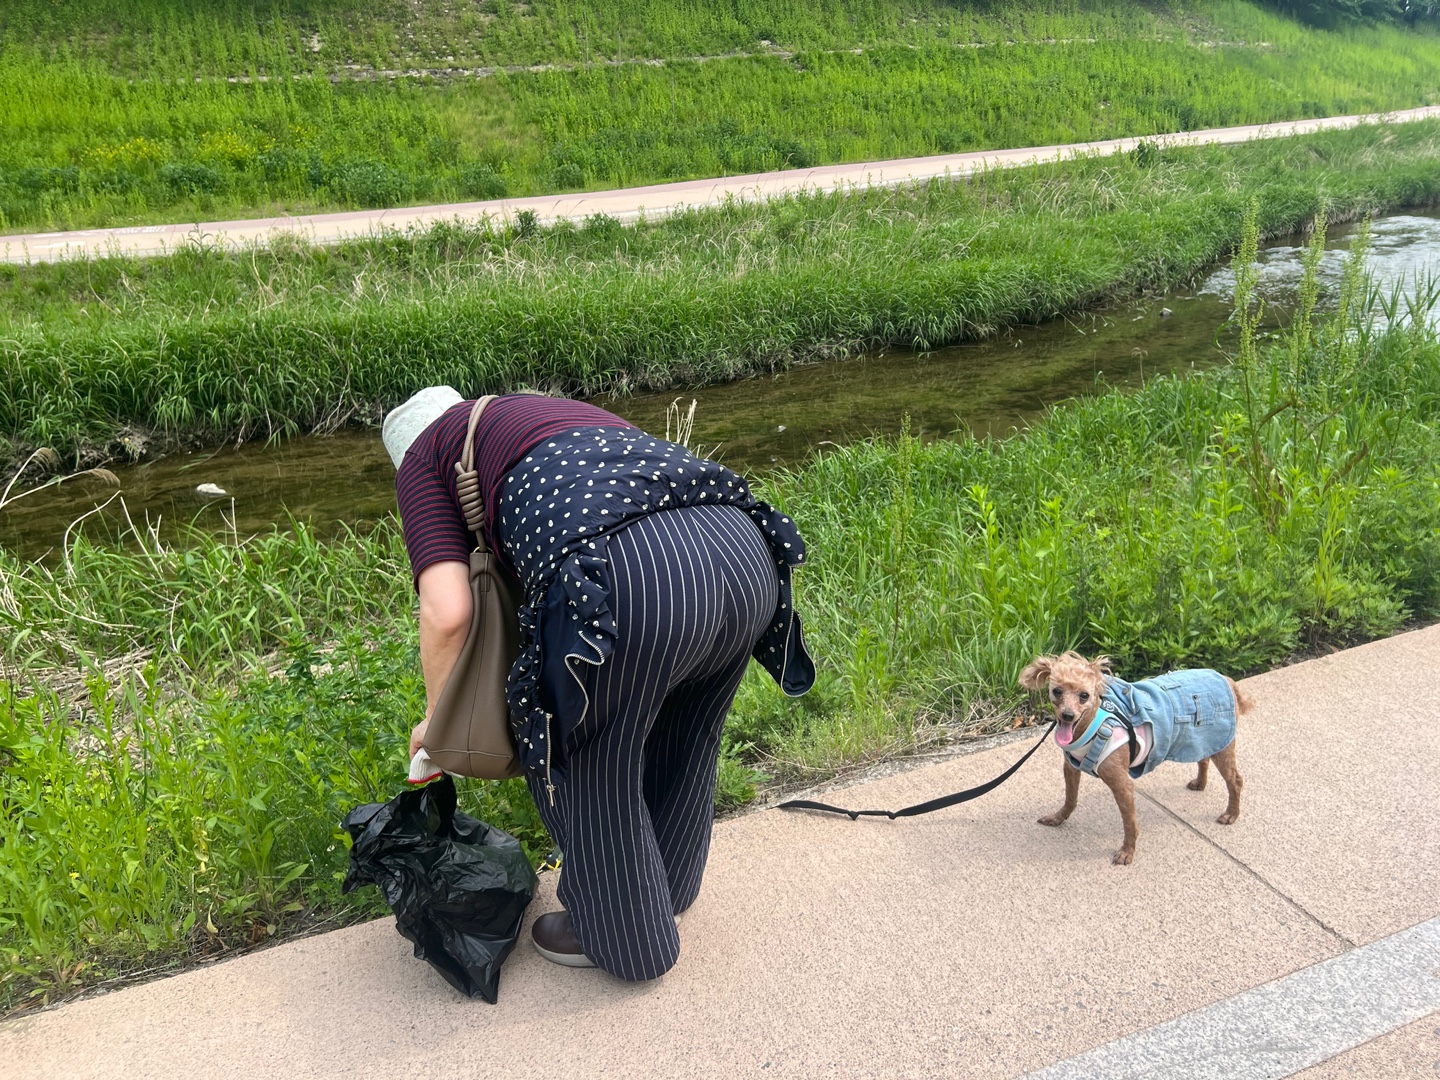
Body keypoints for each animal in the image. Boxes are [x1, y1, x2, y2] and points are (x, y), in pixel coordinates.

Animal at [1018, 651, 1252, 865]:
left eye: (1084, 695)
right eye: (1057, 691)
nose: (1067, 715)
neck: (1092, 726)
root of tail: (1226, 678)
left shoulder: (1122, 784)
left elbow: (1129, 822)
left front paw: (1127, 852)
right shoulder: (1071, 768)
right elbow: (1070, 798)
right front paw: (1058, 818)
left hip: (1222, 744)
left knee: (1235, 781)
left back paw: (1231, 814)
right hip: (1201, 738)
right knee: (1203, 758)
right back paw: (1200, 783)